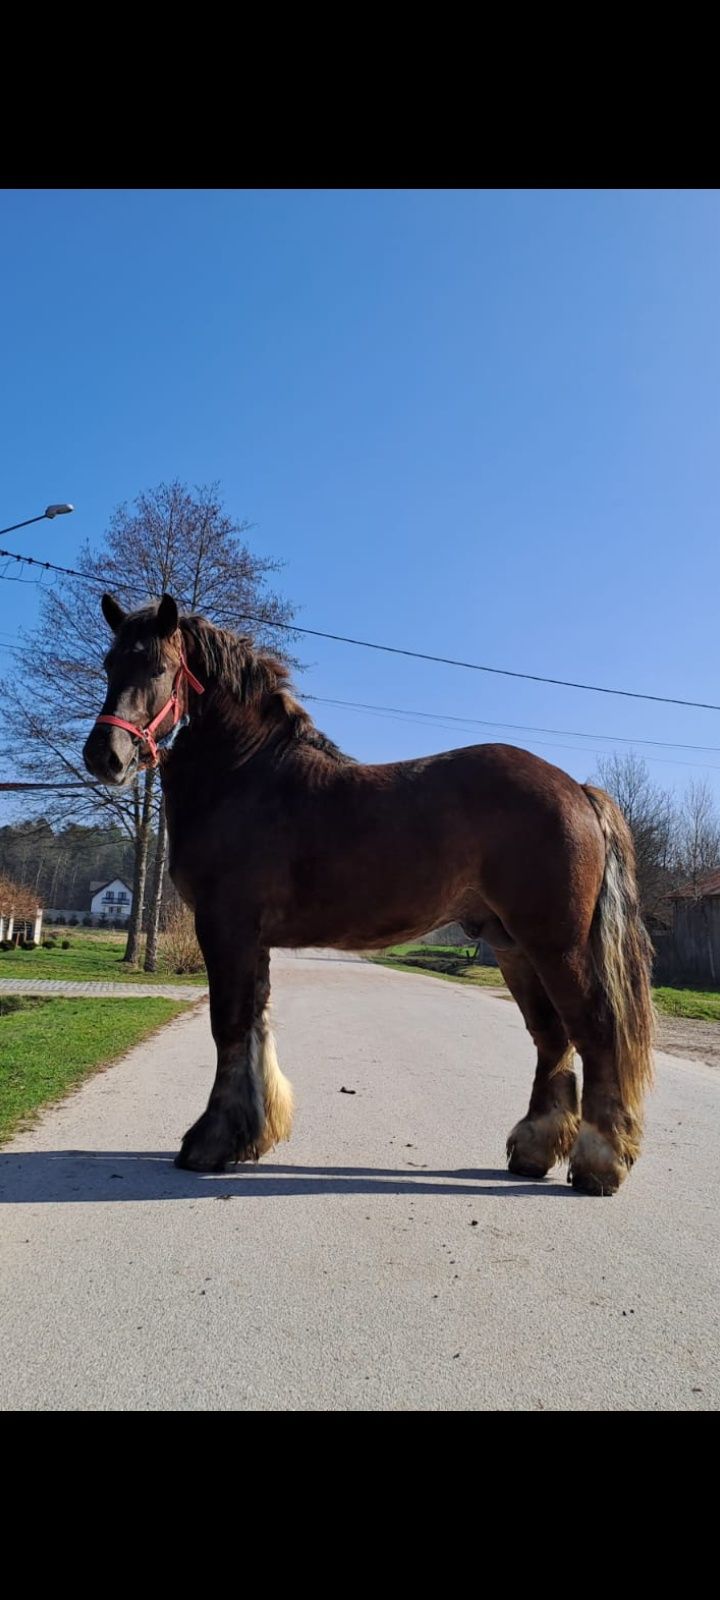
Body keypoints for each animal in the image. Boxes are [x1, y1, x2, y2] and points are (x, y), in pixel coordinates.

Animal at [81, 595, 656, 1196]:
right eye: (109, 664)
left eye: (158, 668)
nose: (105, 756)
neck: (246, 775)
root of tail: (578, 790)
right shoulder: (251, 940)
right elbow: (256, 1023)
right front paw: (248, 1136)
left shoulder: (226, 928)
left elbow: (231, 1025)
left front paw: (209, 1144)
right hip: (513, 947)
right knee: (551, 1037)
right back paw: (534, 1150)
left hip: (555, 945)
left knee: (595, 1032)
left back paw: (598, 1165)